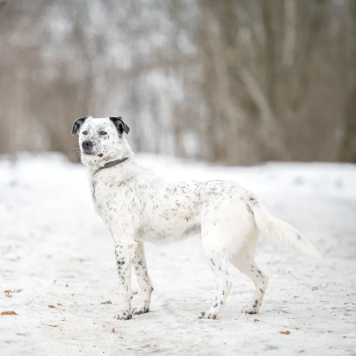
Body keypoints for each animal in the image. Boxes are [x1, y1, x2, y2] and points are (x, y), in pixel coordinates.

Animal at [71, 116, 322, 320]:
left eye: (103, 133)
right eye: (85, 132)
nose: (86, 144)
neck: (112, 170)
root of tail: (244, 193)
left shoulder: (122, 244)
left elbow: (124, 287)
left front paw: (125, 314)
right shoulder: (137, 244)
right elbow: (144, 282)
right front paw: (143, 309)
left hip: (213, 247)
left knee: (226, 282)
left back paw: (211, 312)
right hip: (238, 252)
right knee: (262, 277)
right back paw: (252, 308)